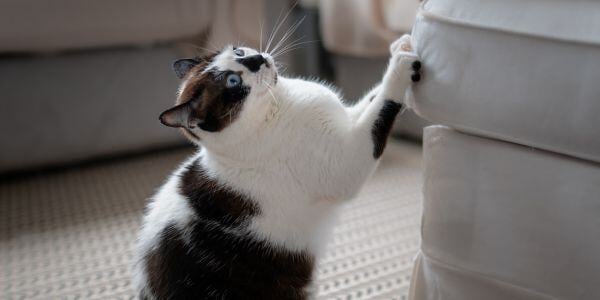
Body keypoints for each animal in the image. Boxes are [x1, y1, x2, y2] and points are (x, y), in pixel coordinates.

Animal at [133, 34, 420, 298]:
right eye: (233, 82)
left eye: (238, 52)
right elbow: (381, 110)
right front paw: (400, 68)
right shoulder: (346, 162)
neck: (278, 105)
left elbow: (372, 99)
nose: (257, 59)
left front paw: (401, 46)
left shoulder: (347, 120)